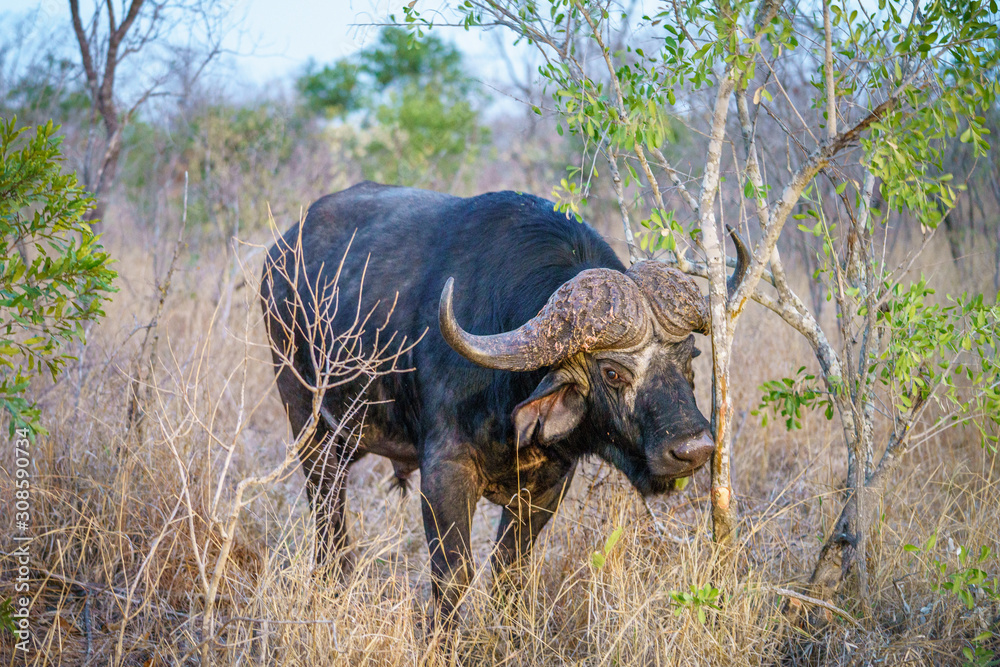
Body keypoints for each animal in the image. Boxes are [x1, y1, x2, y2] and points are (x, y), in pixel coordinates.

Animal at [260, 181, 747, 618]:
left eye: (688, 357)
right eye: (612, 372)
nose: (694, 449)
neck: (509, 405)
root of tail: (280, 255)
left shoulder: (550, 484)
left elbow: (510, 572)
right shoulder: (445, 473)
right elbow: (452, 576)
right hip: (307, 423)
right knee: (328, 517)